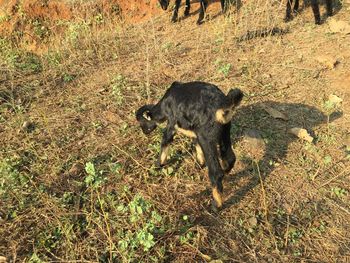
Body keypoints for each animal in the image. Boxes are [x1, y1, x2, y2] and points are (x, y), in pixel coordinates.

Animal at [135, 81, 243, 209]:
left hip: (206, 137)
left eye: (141, 122)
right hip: (225, 130)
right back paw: (226, 170)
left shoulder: (171, 124)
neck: (164, 104)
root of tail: (223, 103)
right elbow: (196, 145)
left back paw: (216, 205)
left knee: (216, 173)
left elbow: (165, 141)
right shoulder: (195, 131)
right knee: (230, 156)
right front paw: (200, 163)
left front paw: (157, 165)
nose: (144, 132)